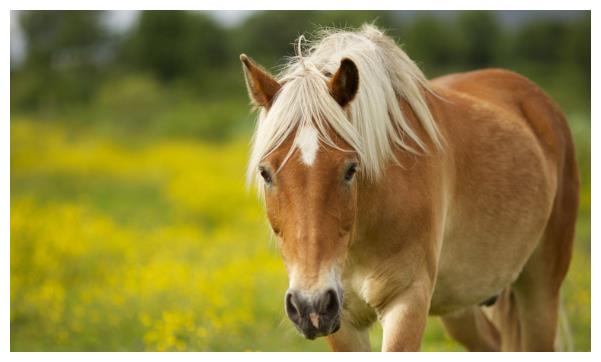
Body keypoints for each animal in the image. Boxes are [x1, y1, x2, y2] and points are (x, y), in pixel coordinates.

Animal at [238, 24, 576, 350]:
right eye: (266, 173)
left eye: (350, 170)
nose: (311, 305)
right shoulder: (343, 322)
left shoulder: (407, 302)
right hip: (462, 306)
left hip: (540, 291)